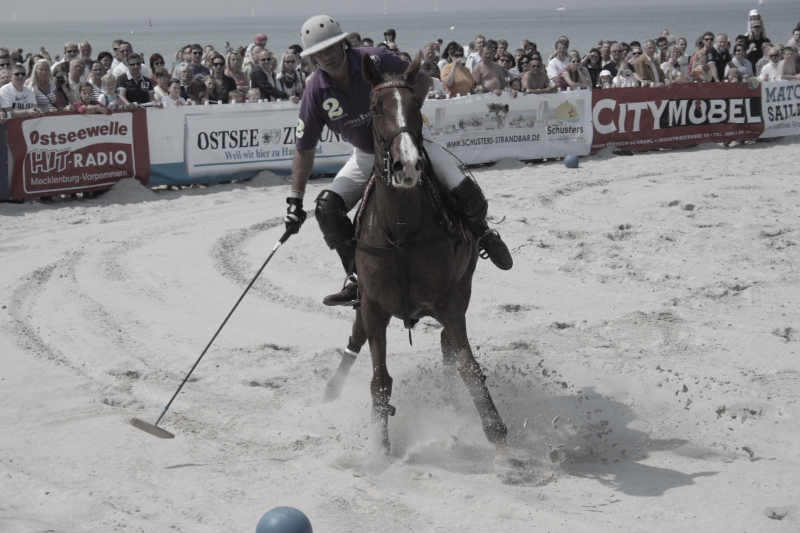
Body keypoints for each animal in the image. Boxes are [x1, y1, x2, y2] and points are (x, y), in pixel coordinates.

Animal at [326, 51, 520, 474]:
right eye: (375, 108)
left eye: (417, 105)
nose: (409, 165)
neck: (401, 232)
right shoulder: (374, 306)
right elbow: (380, 380)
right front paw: (381, 453)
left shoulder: (448, 302)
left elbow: (469, 368)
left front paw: (502, 445)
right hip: (365, 301)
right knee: (355, 337)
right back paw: (330, 390)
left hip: (464, 287)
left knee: (448, 344)